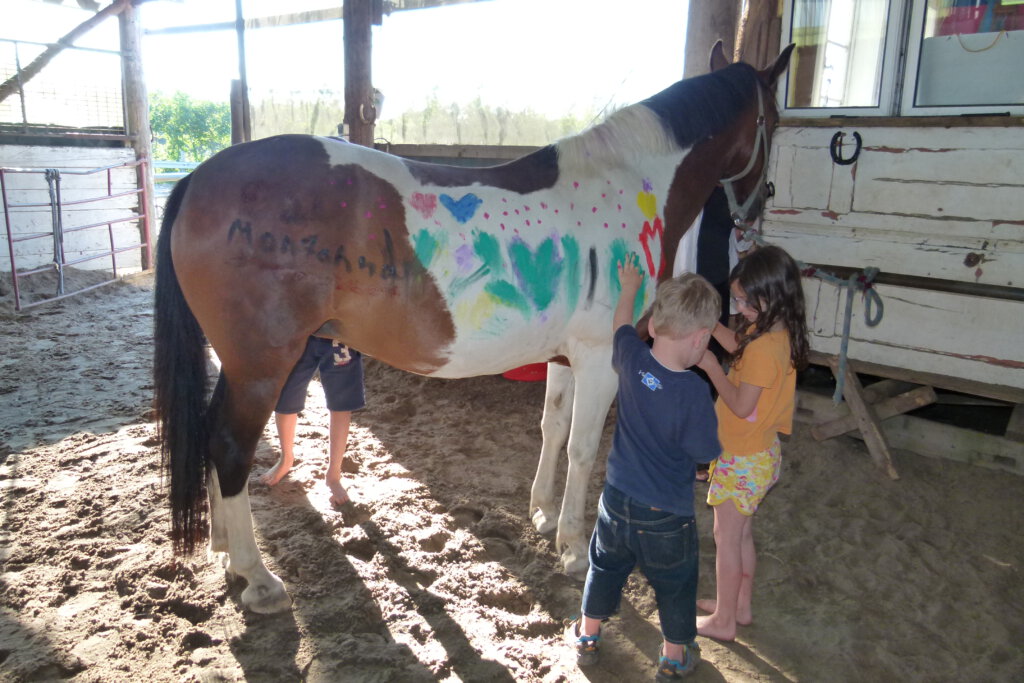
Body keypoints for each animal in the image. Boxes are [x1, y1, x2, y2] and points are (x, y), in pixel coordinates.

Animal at [154, 42, 794, 614]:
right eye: (777, 118)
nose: (757, 208)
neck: (629, 184)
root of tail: (198, 179)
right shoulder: (600, 359)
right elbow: (585, 448)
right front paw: (572, 548)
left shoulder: (566, 359)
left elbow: (553, 429)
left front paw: (541, 514)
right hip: (263, 365)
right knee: (229, 445)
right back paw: (259, 580)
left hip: (239, 364)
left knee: (211, 435)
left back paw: (224, 554)